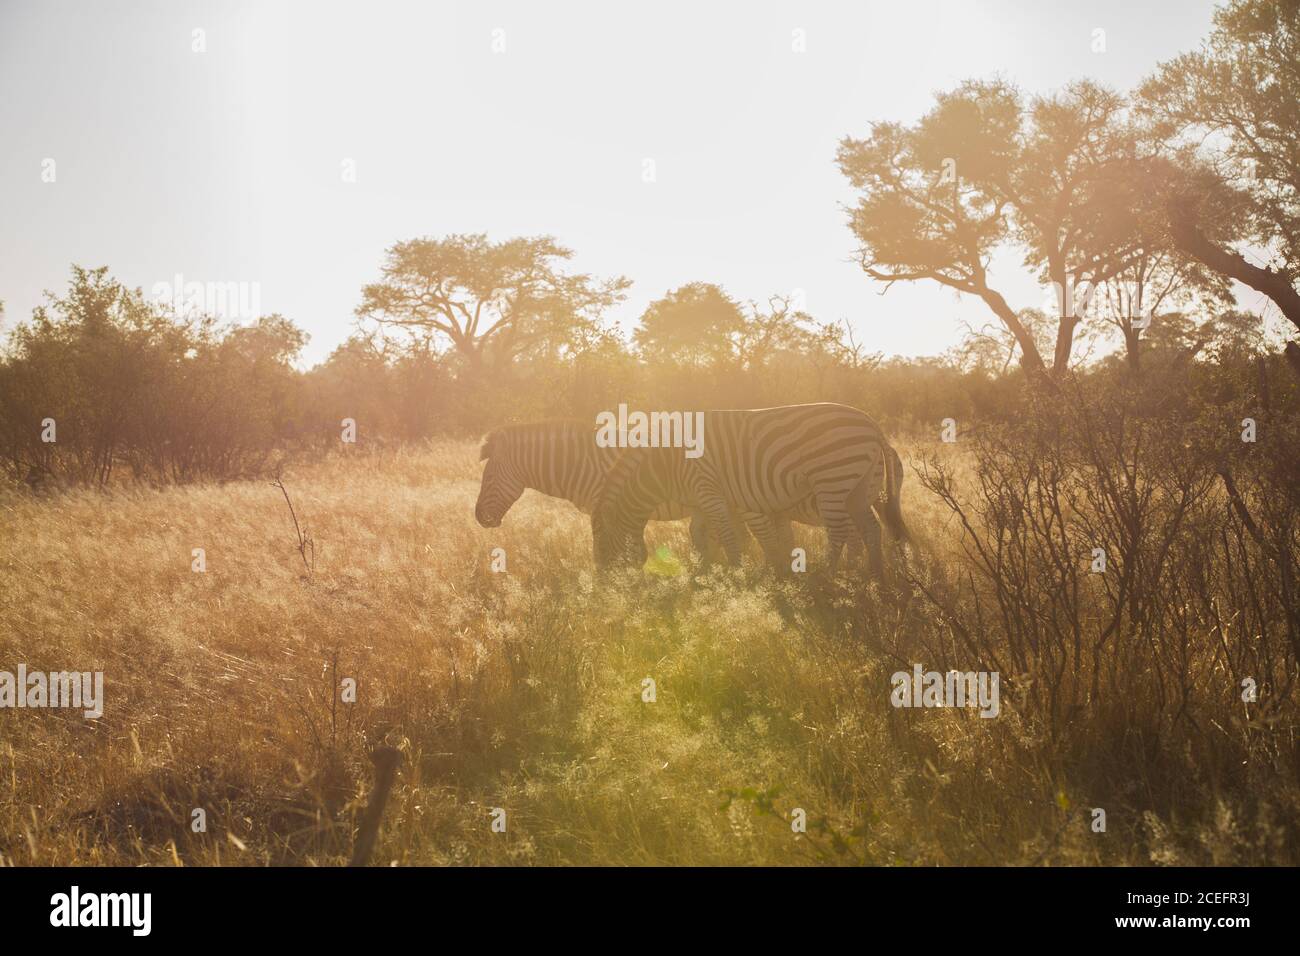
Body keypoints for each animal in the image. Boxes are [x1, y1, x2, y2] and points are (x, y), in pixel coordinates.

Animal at [591, 403, 908, 578]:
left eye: (602, 546)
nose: (605, 588)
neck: (664, 465)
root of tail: (872, 424)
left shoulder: (709, 491)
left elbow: (730, 536)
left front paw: (737, 573)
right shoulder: (700, 501)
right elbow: (700, 536)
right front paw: (706, 571)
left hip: (833, 480)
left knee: (841, 532)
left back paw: (828, 577)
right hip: (859, 487)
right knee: (871, 529)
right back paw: (872, 578)